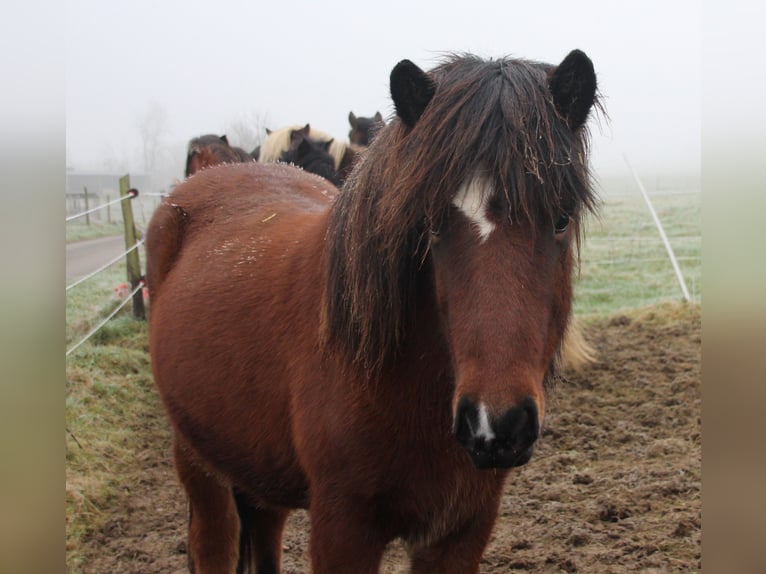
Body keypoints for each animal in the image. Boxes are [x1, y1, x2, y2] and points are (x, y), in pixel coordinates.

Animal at [144, 50, 600, 574]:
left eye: (561, 218)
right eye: (431, 223)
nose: (496, 425)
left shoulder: (462, 529)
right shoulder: (342, 528)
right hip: (198, 460)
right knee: (214, 541)